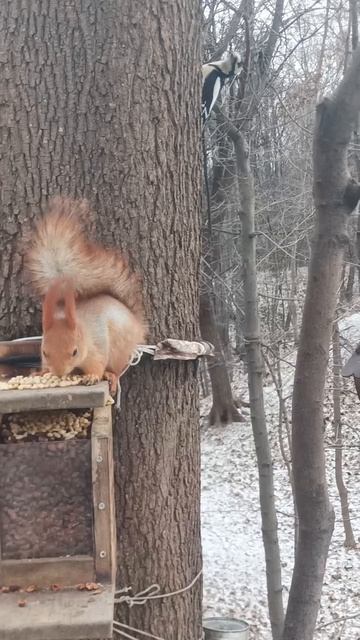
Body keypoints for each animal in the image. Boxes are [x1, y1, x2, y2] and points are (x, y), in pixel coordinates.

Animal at [25, 198, 147, 392]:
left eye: (74, 351)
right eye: (44, 352)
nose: (59, 373)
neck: (82, 331)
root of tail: (136, 323)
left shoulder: (97, 347)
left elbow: (97, 363)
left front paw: (92, 376)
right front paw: (41, 372)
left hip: (120, 349)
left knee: (117, 368)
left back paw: (111, 376)